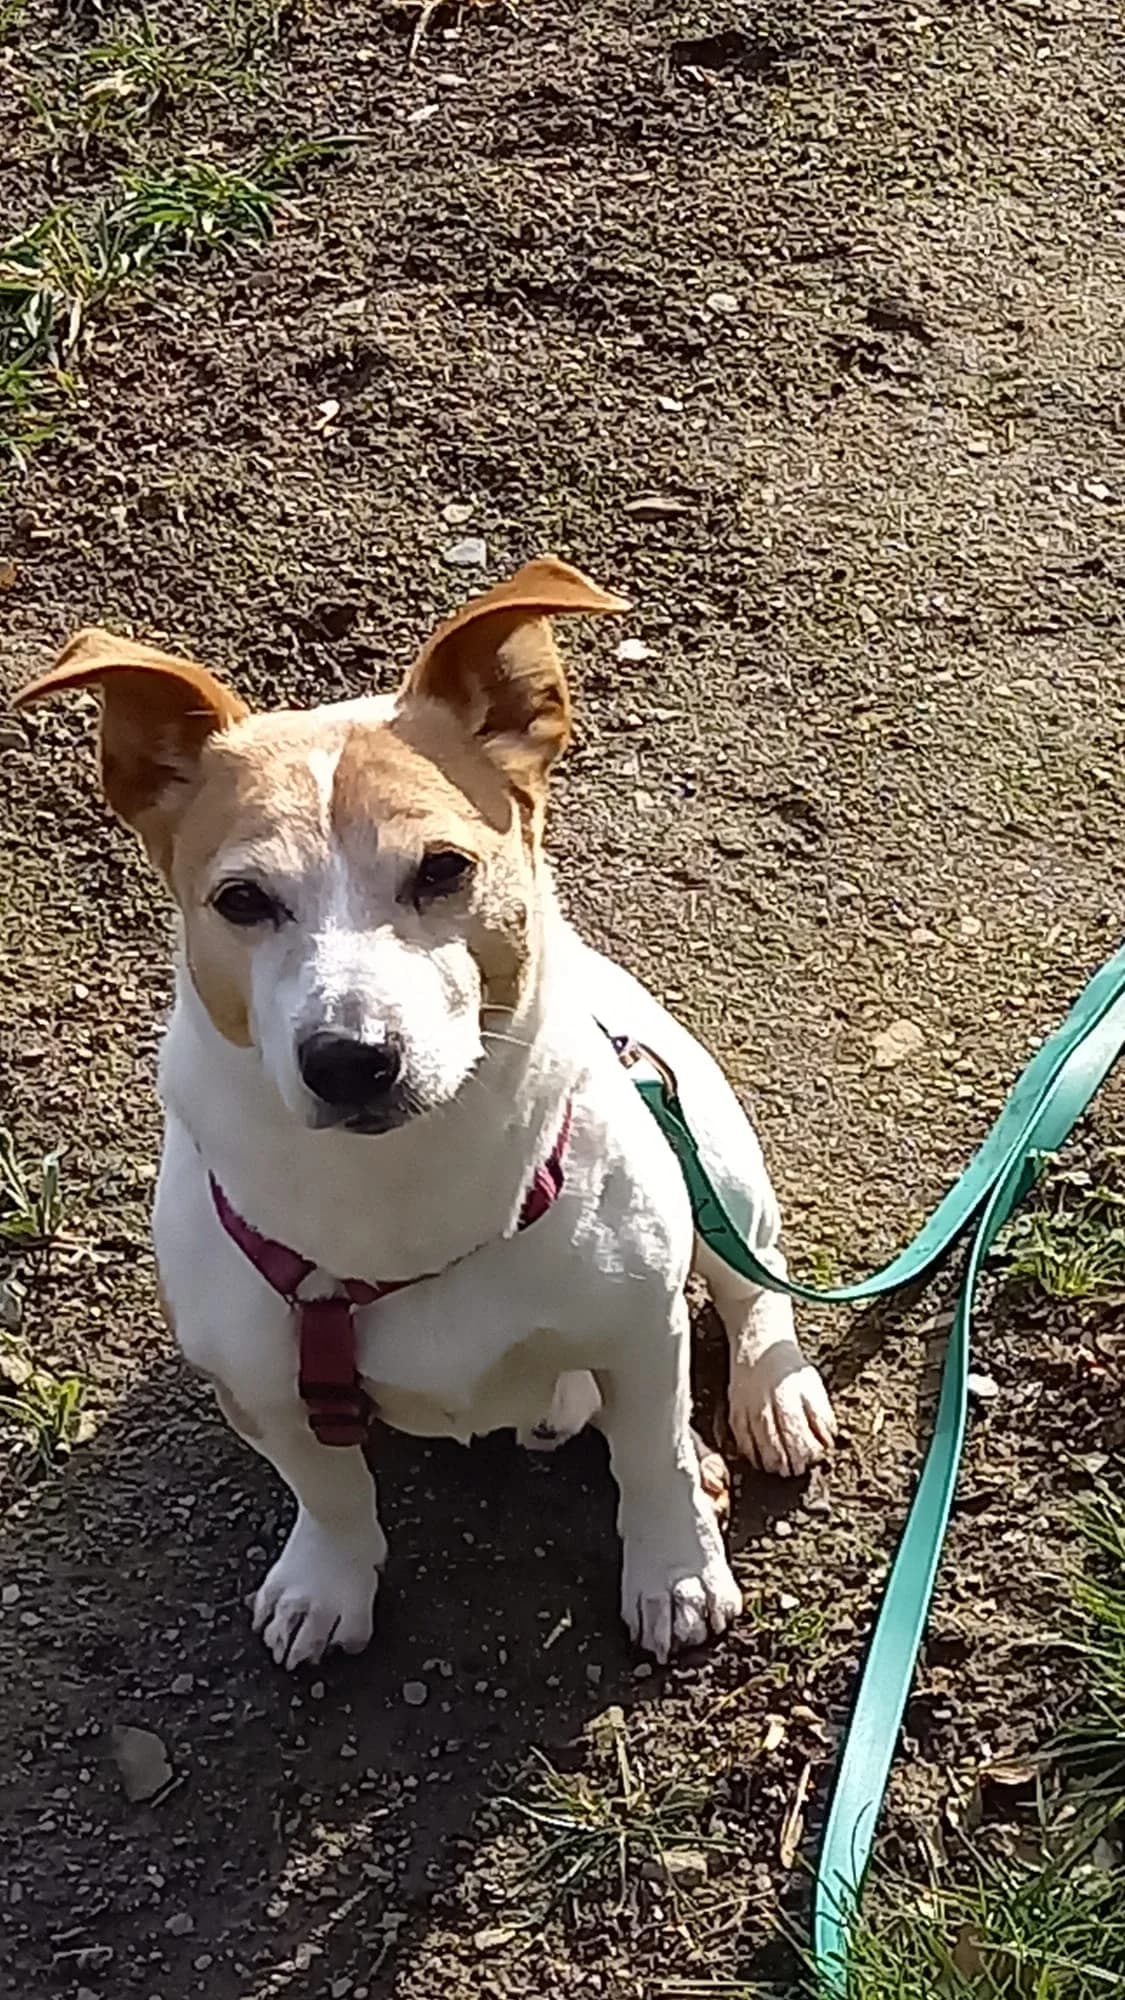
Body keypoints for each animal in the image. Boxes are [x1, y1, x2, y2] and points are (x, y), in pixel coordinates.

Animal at [18, 559, 835, 1667]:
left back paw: (769, 1393)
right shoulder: (263, 1388)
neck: (396, 1190)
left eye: (443, 867)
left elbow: (653, 1458)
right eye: (241, 900)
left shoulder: (635, 1327)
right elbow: (329, 1493)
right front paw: (327, 1583)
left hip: (709, 1143)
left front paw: (675, 1570)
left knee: (750, 1282)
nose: (350, 1059)